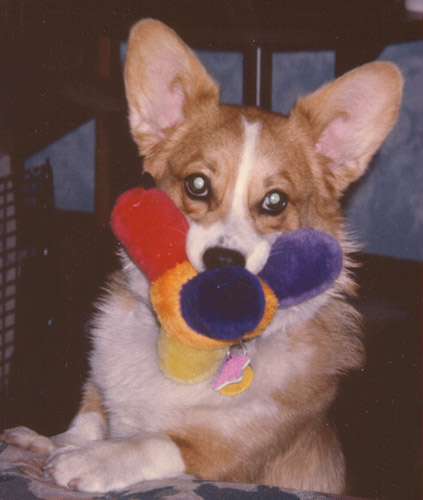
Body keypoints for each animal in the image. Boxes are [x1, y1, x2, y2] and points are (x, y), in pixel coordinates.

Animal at [1, 18, 402, 492]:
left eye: (275, 201)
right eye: (197, 185)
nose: (223, 265)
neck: (189, 343)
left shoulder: (225, 458)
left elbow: (152, 442)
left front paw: (89, 460)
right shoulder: (100, 397)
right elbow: (88, 421)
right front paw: (46, 441)